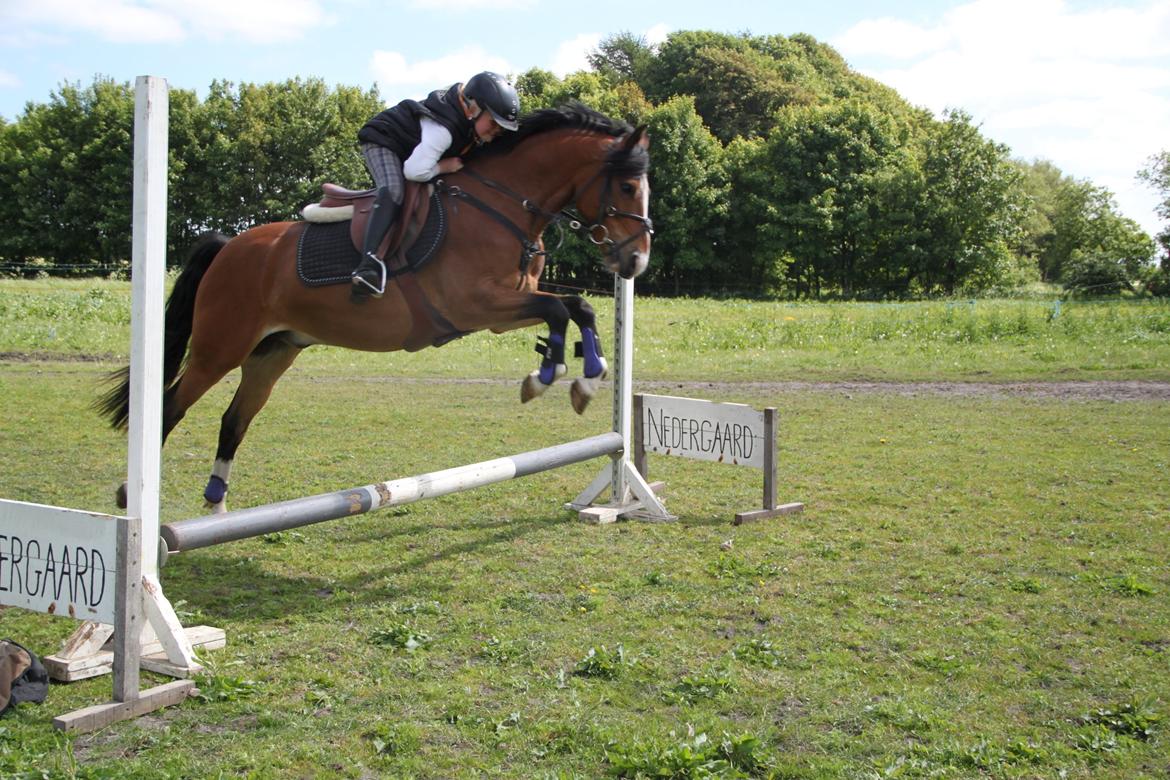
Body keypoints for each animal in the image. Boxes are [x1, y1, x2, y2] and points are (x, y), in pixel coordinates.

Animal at [99, 104, 653, 514]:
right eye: (628, 187)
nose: (635, 261)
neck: (498, 204)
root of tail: (228, 247)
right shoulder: (476, 304)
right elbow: (564, 310)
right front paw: (549, 378)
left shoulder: (501, 312)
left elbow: (576, 309)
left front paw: (587, 378)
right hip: (221, 347)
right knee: (172, 405)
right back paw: (131, 496)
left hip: (273, 351)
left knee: (234, 420)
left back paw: (216, 503)